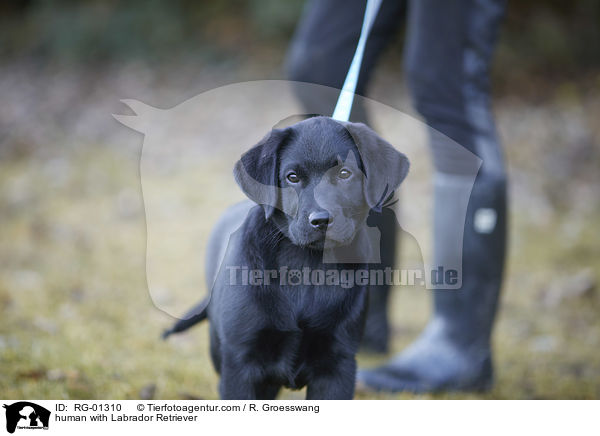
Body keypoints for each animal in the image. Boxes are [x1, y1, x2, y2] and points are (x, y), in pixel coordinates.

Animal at [163, 115, 408, 398]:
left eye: (344, 173)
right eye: (292, 177)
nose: (321, 220)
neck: (307, 266)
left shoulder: (338, 365)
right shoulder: (239, 365)